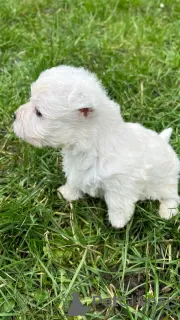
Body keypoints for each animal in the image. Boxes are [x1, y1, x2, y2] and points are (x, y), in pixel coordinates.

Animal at [13, 66, 179, 229]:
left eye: (38, 112)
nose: (14, 115)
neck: (92, 145)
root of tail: (164, 141)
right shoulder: (75, 170)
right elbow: (73, 182)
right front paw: (66, 193)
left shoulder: (120, 185)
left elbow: (118, 204)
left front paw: (117, 222)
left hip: (166, 182)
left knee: (173, 196)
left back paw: (167, 212)